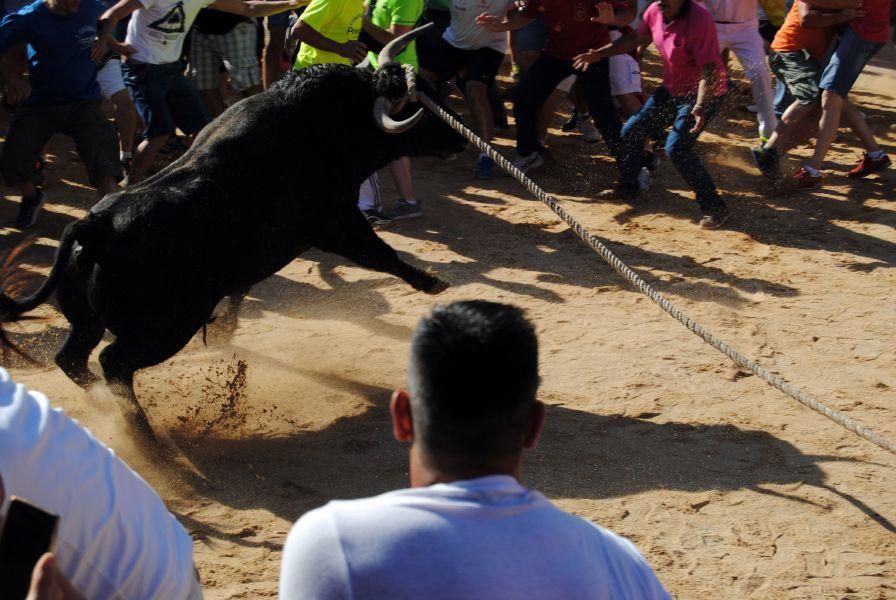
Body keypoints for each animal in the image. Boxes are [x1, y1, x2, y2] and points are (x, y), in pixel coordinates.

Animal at [1, 35, 468, 436]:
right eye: (413, 105)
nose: (457, 136)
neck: (329, 125)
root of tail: (92, 226)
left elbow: (242, 288)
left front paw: (225, 330)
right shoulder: (337, 223)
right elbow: (381, 254)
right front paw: (432, 282)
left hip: (88, 321)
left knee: (73, 359)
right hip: (168, 326)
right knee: (113, 363)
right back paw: (150, 439)